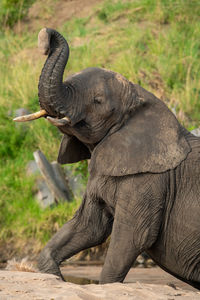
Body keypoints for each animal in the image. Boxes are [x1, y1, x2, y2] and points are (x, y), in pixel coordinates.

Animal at [14, 28, 200, 288]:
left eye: (98, 101)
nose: (44, 40)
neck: (139, 92)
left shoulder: (150, 182)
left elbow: (132, 236)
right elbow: (88, 227)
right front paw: (54, 276)